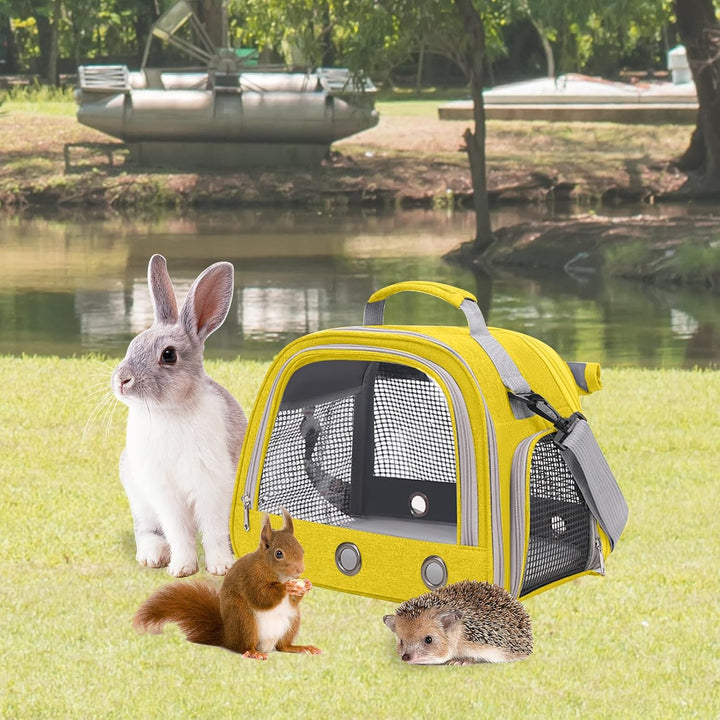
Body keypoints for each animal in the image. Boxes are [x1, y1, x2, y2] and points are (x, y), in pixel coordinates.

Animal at [111, 254, 247, 577]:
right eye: (132, 345)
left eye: (169, 355)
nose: (121, 380)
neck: (169, 411)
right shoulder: (164, 491)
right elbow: (178, 532)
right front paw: (182, 568)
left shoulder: (212, 485)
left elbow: (213, 530)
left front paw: (221, 567)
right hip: (139, 496)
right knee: (147, 530)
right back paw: (152, 556)